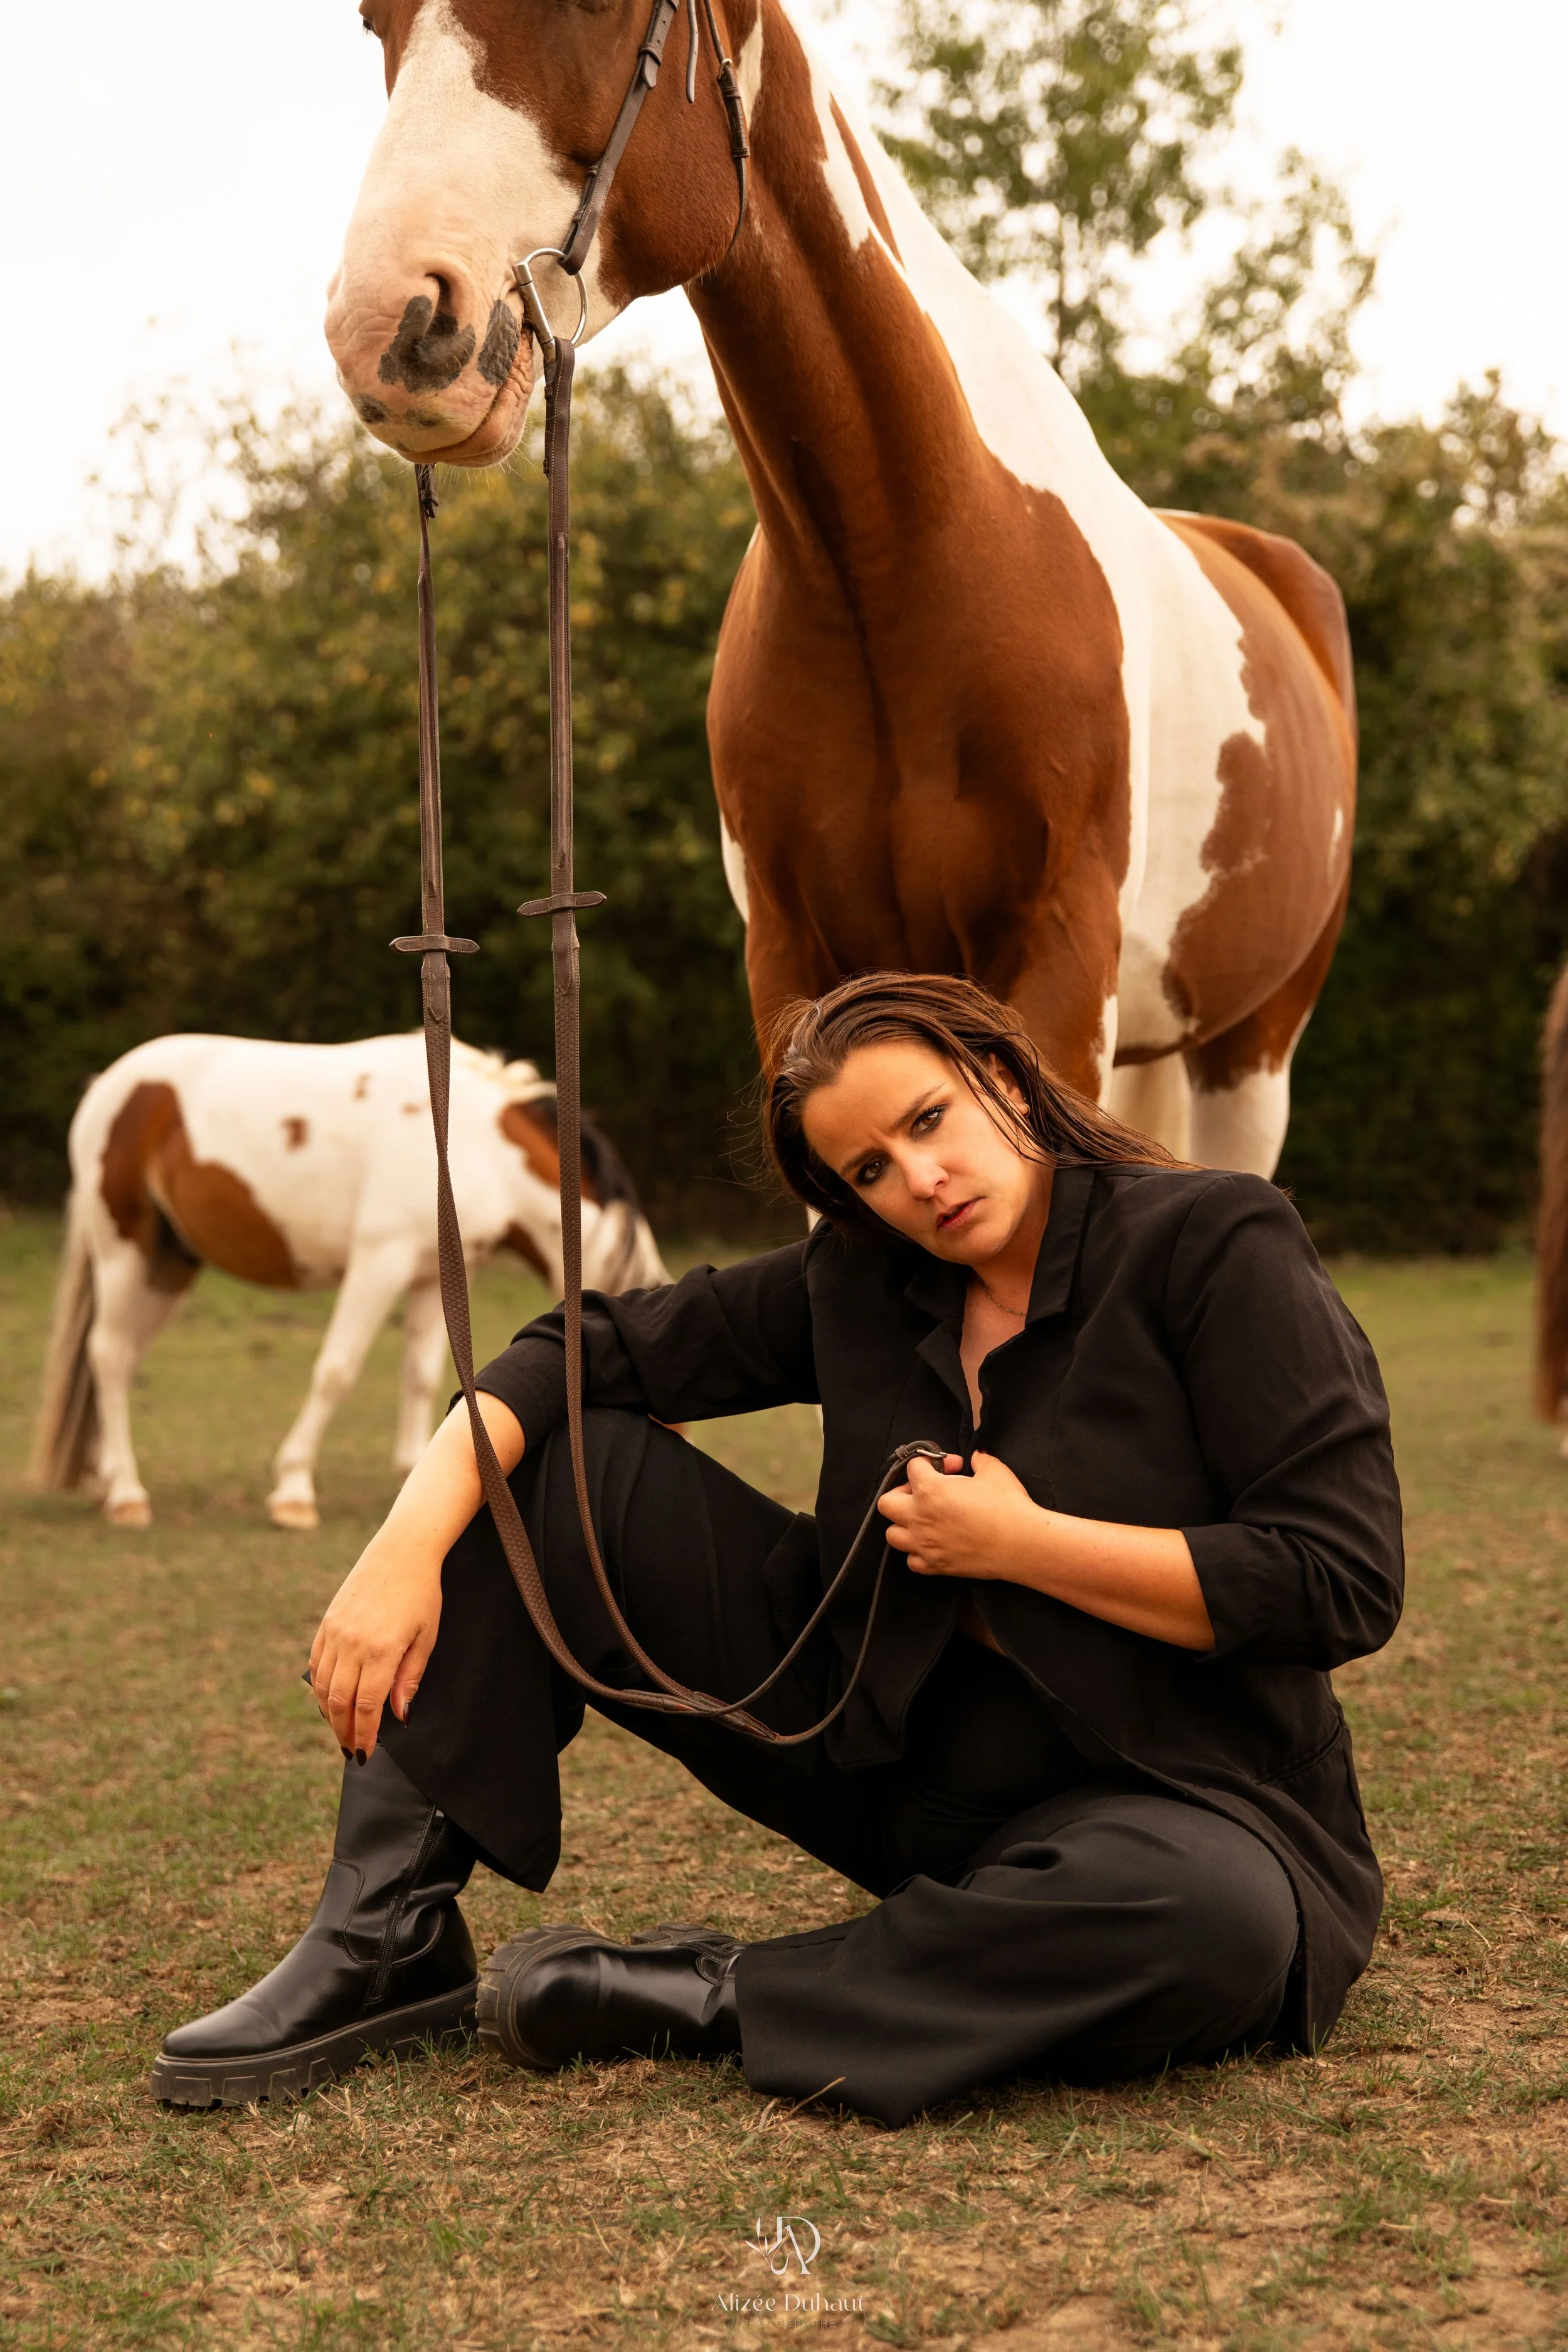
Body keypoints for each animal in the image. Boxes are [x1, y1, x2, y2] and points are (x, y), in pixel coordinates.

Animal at [30, 1031, 671, 1530]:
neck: (472, 1143)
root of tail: (110, 1085)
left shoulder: (428, 1276)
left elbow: (421, 1376)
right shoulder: (378, 1263)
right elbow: (336, 1372)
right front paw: (293, 1491)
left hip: (169, 1265)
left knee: (121, 1359)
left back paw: (107, 1478)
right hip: (122, 1251)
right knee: (109, 1355)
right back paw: (127, 1495)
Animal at [323, 0, 1357, 1176]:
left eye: (599, 7)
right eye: (374, 21)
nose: (391, 330)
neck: (897, 559)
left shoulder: (1058, 965)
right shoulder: (793, 960)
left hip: (1252, 1043)